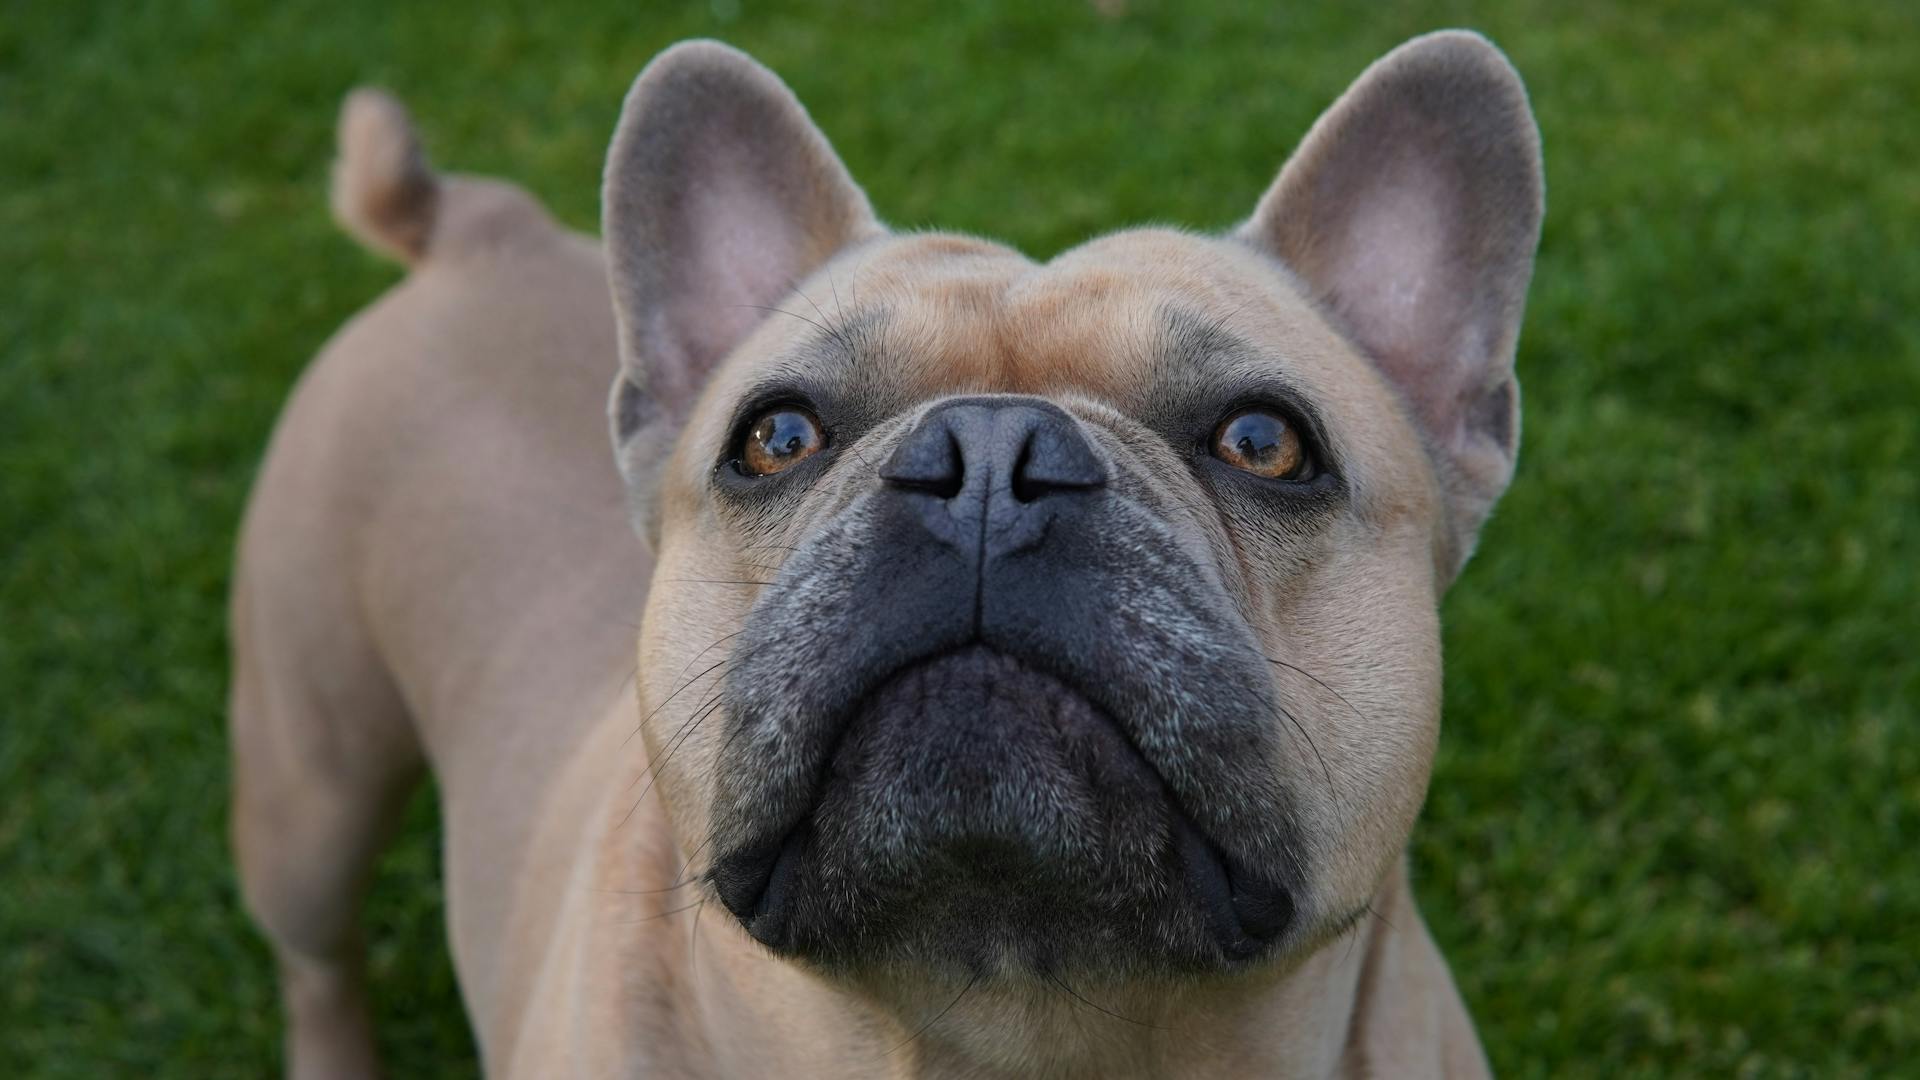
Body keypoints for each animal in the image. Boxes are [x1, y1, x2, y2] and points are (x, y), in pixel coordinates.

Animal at [228, 29, 1543, 1068]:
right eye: (776, 437)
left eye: (1266, 442)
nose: (992, 456)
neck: (1009, 1031)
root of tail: (470, 232)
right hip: (310, 794)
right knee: (316, 960)